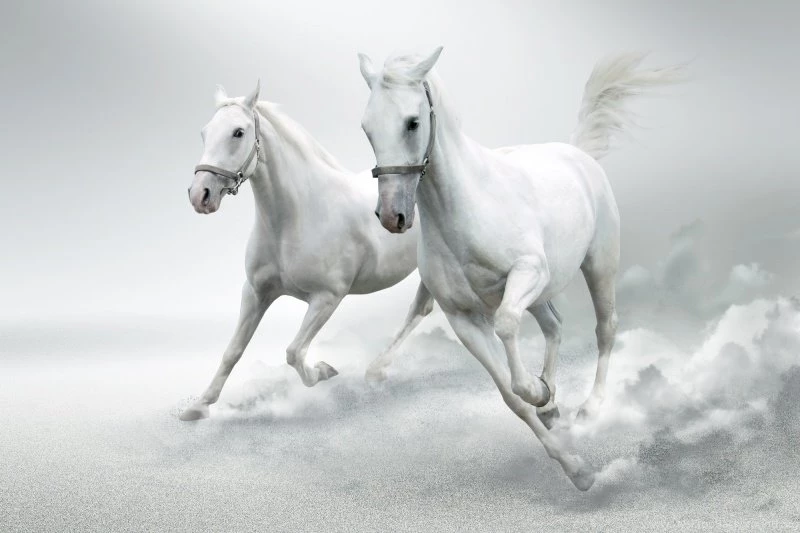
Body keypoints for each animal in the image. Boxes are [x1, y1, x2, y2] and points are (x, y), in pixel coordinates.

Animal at [180, 82, 435, 421]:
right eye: (205, 132)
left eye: (238, 132)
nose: (200, 195)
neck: (296, 217)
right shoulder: (256, 293)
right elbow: (233, 351)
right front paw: (199, 406)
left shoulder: (327, 297)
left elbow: (294, 352)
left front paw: (324, 370)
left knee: (419, 310)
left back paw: (376, 369)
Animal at [357, 49, 684, 489]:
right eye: (367, 128)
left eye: (412, 121)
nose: (392, 216)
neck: (469, 208)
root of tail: (577, 154)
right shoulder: (463, 318)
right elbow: (511, 397)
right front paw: (573, 463)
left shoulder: (528, 273)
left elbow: (508, 326)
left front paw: (538, 392)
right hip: (543, 294)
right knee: (555, 325)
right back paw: (554, 404)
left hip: (599, 264)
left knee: (605, 327)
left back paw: (590, 407)